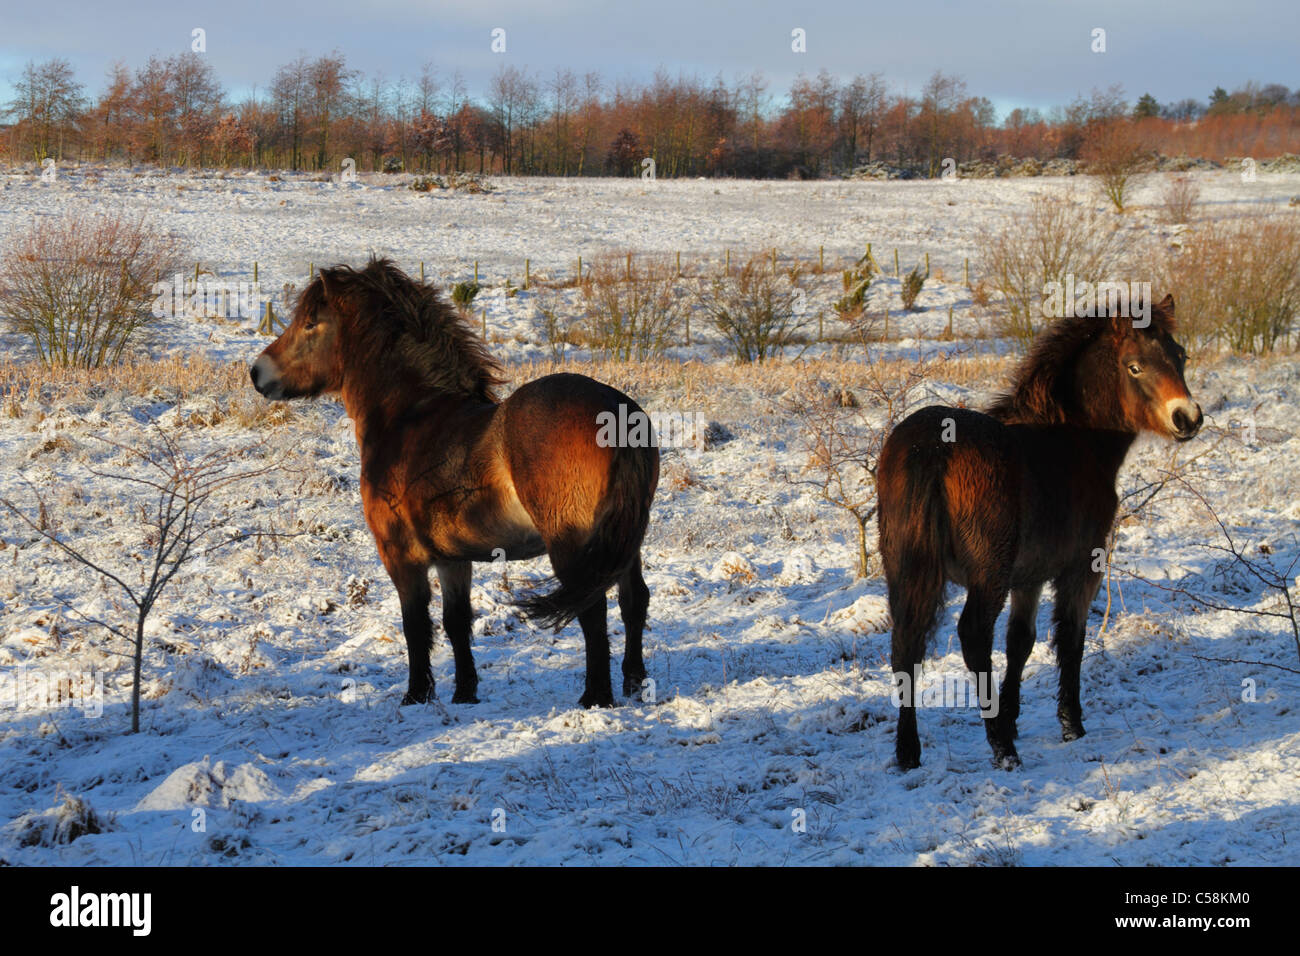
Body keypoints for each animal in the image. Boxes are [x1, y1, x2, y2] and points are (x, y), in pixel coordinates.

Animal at [250, 258, 659, 709]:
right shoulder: (452, 558)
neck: (410, 418)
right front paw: (465, 693)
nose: (257, 372)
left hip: (573, 544)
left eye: (309, 322)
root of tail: (617, 413)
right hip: (624, 542)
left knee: (592, 608)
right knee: (633, 600)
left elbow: (415, 625)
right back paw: (634, 683)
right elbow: (456, 622)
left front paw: (416, 695)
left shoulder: (401, 555)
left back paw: (596, 697)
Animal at [876, 295, 1201, 770]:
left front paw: (1012, 717)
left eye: (1180, 356)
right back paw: (1002, 750)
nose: (1187, 418)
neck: (1073, 440)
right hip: (986, 574)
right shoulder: (1081, 567)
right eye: (1135, 366)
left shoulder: (1027, 578)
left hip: (907, 569)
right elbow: (1070, 638)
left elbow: (1020, 642)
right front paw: (1070, 725)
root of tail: (932, 448)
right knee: (973, 637)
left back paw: (909, 752)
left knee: (906, 644)